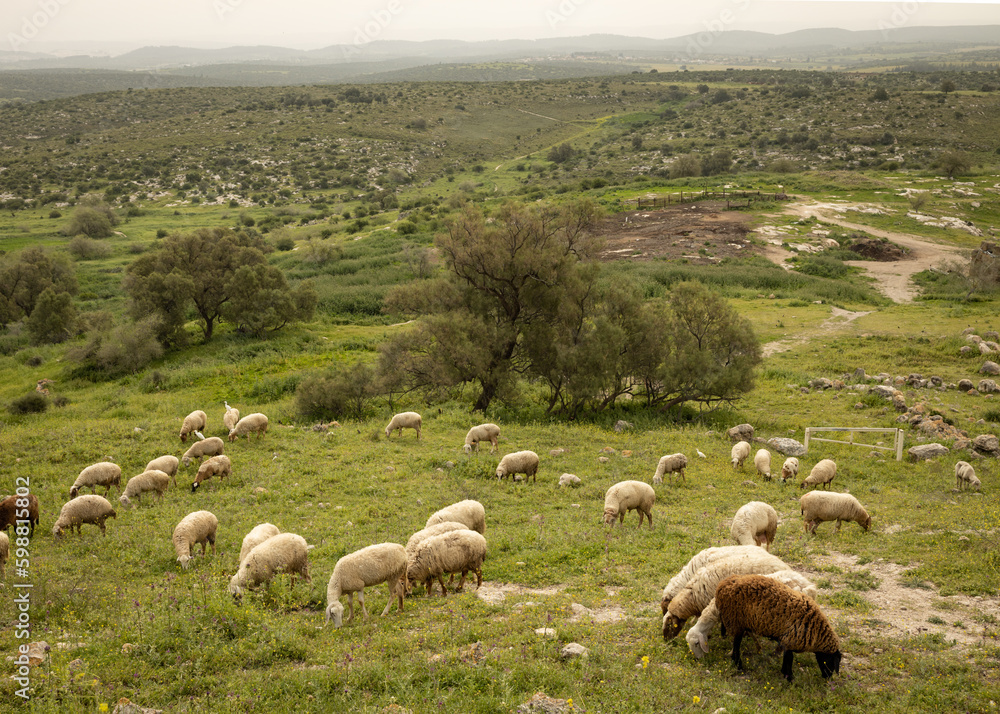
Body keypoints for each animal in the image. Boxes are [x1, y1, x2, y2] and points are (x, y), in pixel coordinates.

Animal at [686, 569, 818, 659]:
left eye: (697, 643)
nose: (699, 659)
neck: (716, 608)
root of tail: (808, 586)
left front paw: (732, 652)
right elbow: (750, 634)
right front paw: (758, 648)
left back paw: (777, 652)